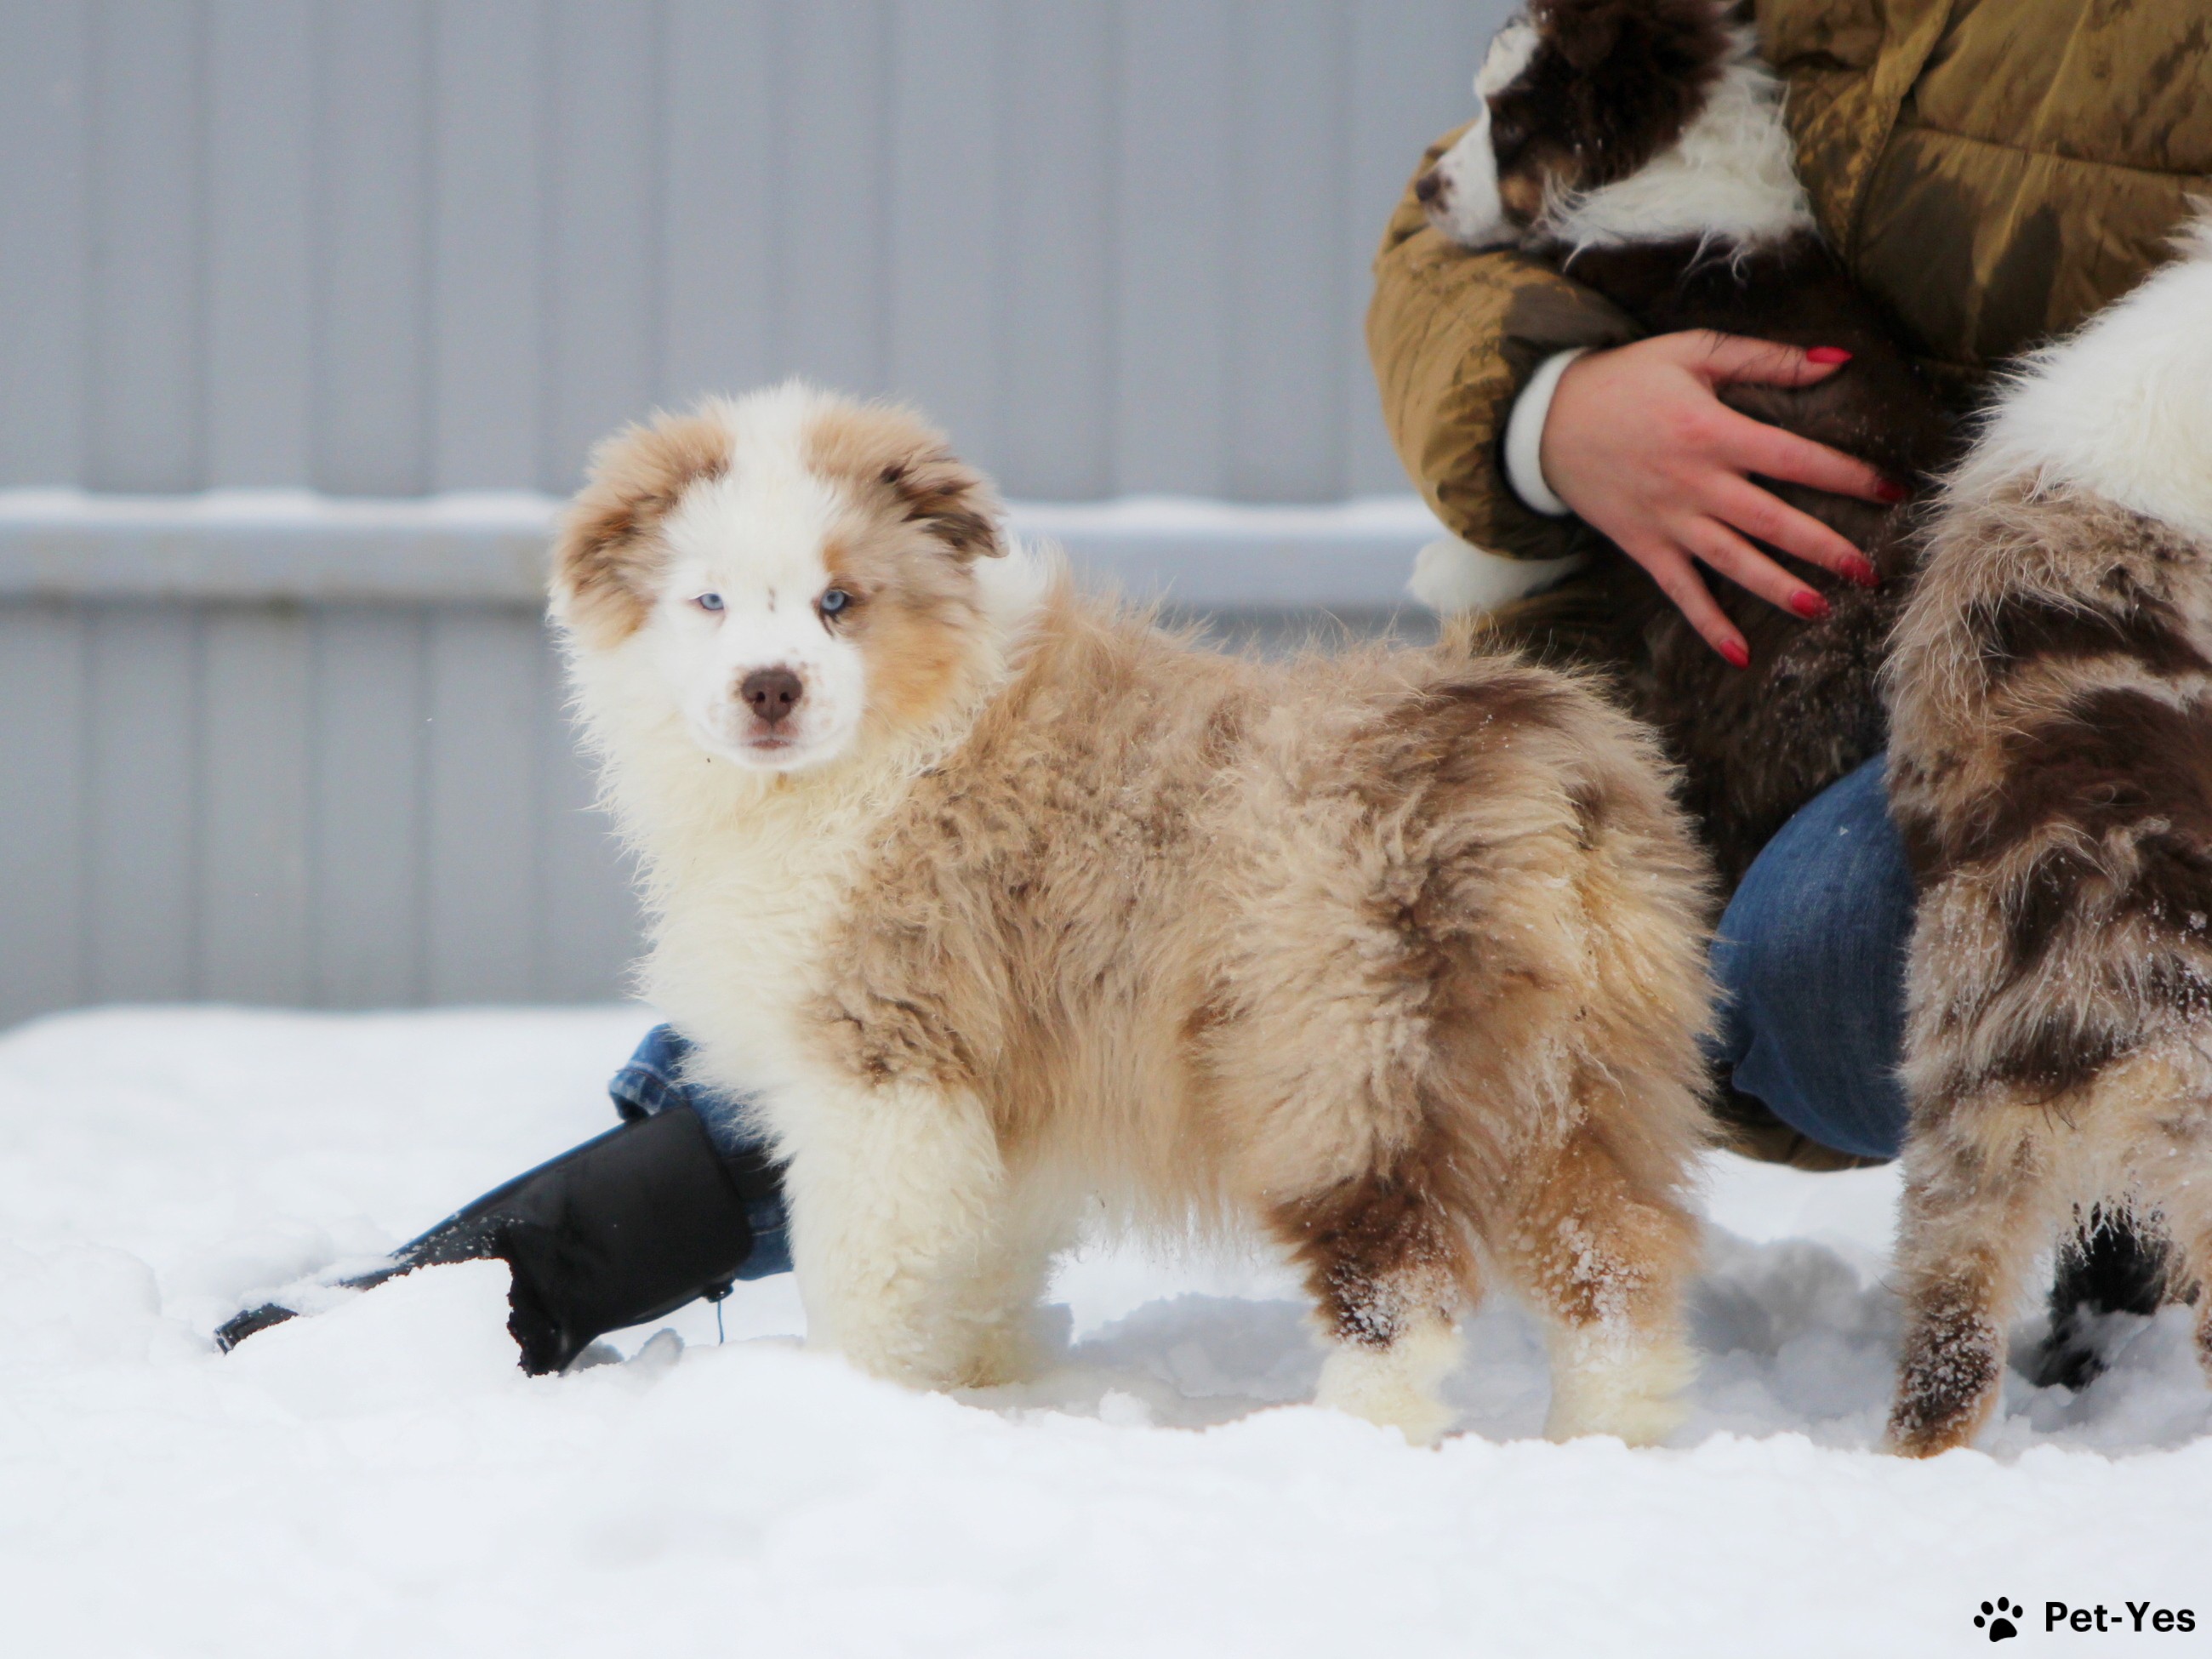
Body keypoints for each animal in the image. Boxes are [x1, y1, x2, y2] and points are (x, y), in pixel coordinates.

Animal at [548, 382, 1707, 1451]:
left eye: (841, 600)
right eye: (707, 601)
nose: (770, 689)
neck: (886, 747)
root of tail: (1526, 752)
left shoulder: (882, 1067)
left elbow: (861, 1269)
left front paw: (846, 1404)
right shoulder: (1001, 1095)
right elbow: (983, 1263)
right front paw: (989, 1389)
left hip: (1347, 1053)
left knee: (1399, 1273)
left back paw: (1341, 1444)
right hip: (1577, 1071)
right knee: (1612, 1262)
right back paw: (1603, 1444)